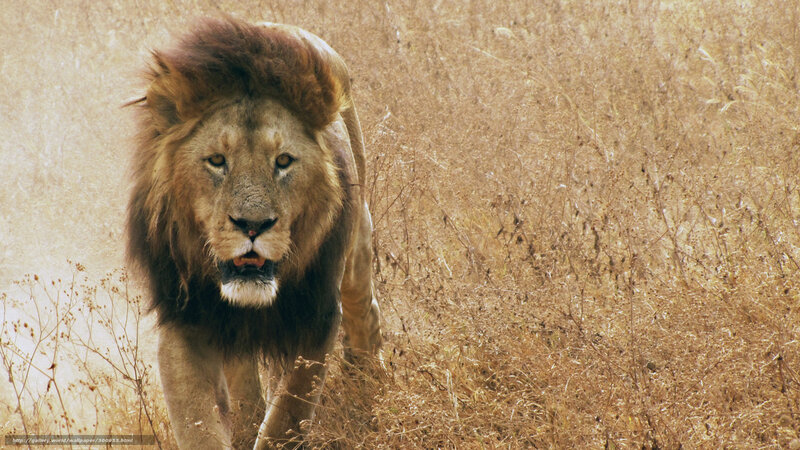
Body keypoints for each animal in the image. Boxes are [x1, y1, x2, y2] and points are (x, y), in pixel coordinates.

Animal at [126, 17, 383, 448]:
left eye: (283, 161)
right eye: (217, 160)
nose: (252, 225)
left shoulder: (316, 318)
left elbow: (286, 416)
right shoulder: (185, 319)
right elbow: (197, 421)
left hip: (358, 246)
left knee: (364, 309)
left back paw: (369, 386)